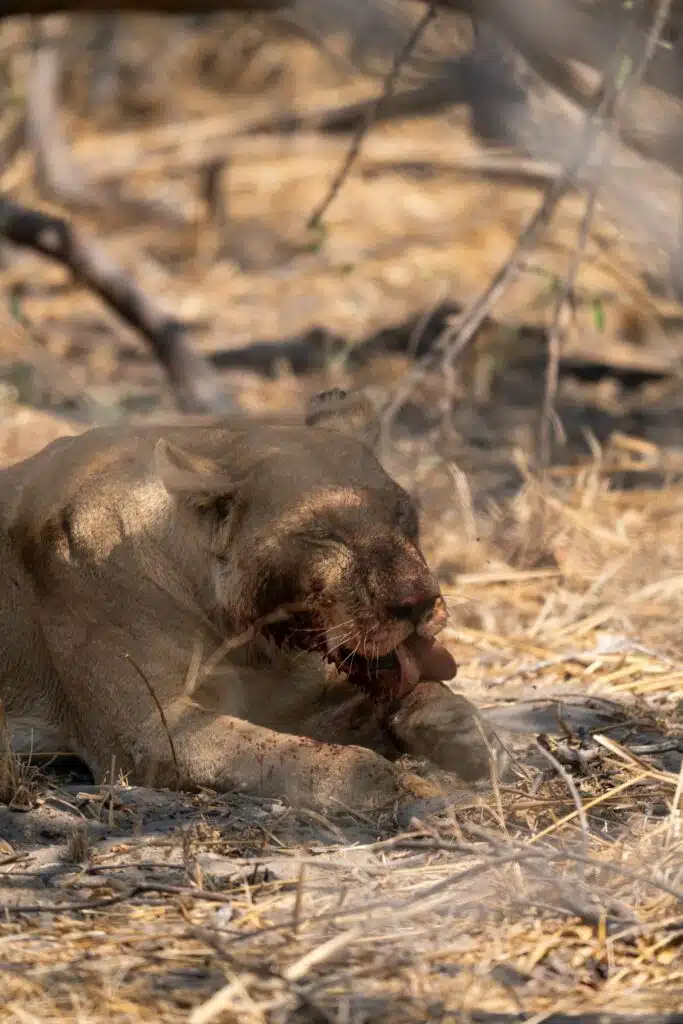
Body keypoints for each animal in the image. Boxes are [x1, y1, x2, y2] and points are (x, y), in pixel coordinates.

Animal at [0, 389, 496, 812]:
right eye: (323, 535)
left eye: (401, 513)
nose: (418, 604)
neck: (248, 642)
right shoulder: (151, 733)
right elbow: (324, 762)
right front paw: (418, 791)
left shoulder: (297, 702)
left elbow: (423, 694)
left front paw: (477, 739)